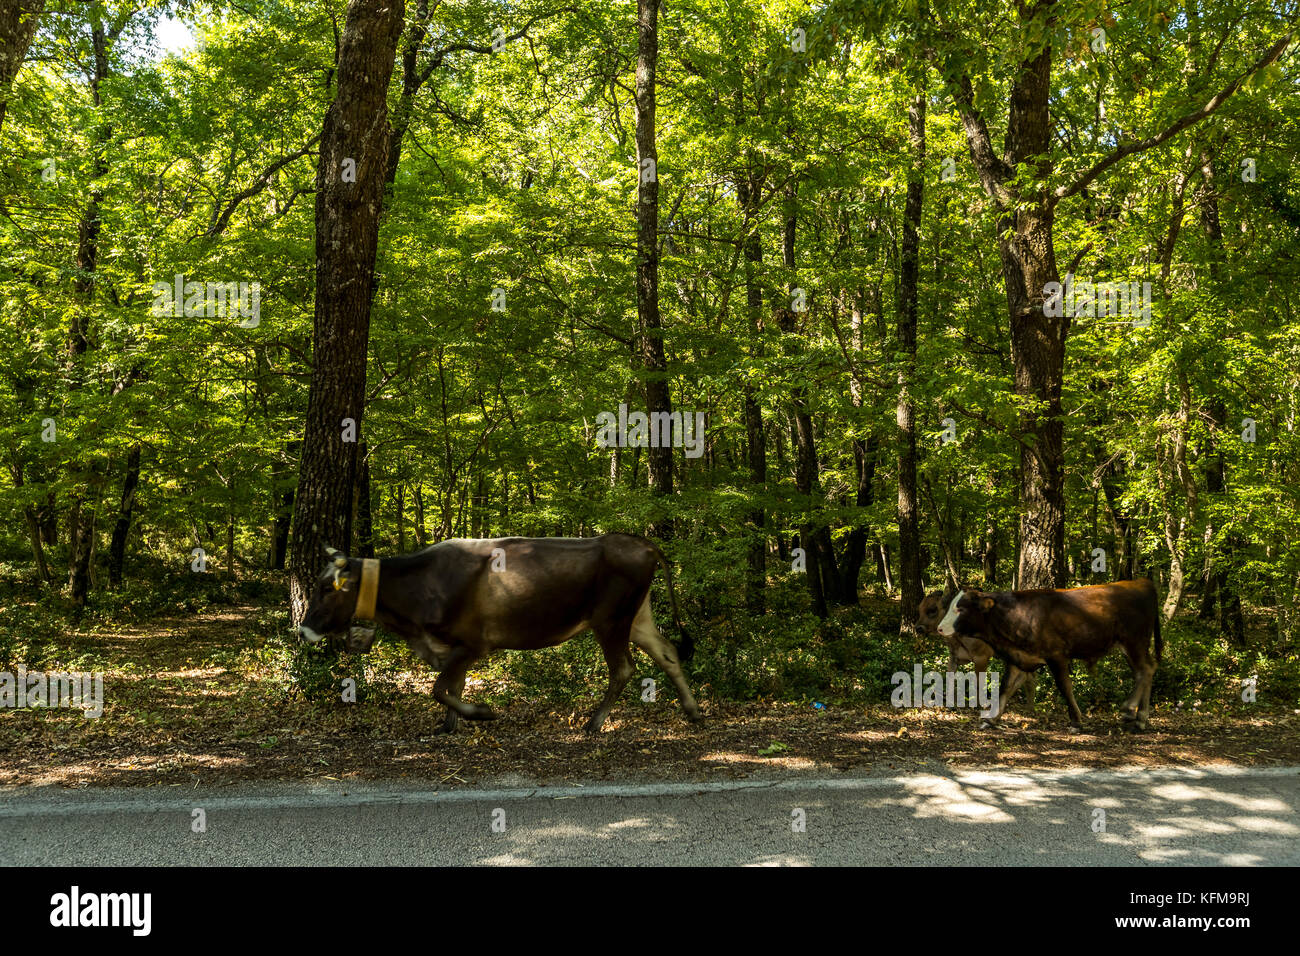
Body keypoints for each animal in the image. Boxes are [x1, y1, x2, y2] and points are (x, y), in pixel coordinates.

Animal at [297, 530, 702, 733]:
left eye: (327, 587)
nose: (303, 630)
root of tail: (641, 542)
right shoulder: (451, 647)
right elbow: (452, 686)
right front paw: (449, 726)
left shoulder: (472, 642)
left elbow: (439, 688)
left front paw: (481, 713)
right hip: (637, 616)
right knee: (667, 652)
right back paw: (693, 711)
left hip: (611, 619)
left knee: (623, 669)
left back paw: (593, 722)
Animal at [941, 574, 1164, 733]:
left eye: (960, 609)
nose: (940, 628)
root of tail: (1142, 582)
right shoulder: (1019, 657)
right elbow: (1006, 687)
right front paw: (991, 718)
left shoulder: (1056, 656)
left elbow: (1064, 686)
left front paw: (1076, 720)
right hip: (1132, 646)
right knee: (1146, 670)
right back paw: (1141, 719)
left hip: (1134, 641)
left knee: (1145, 670)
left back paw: (1129, 709)